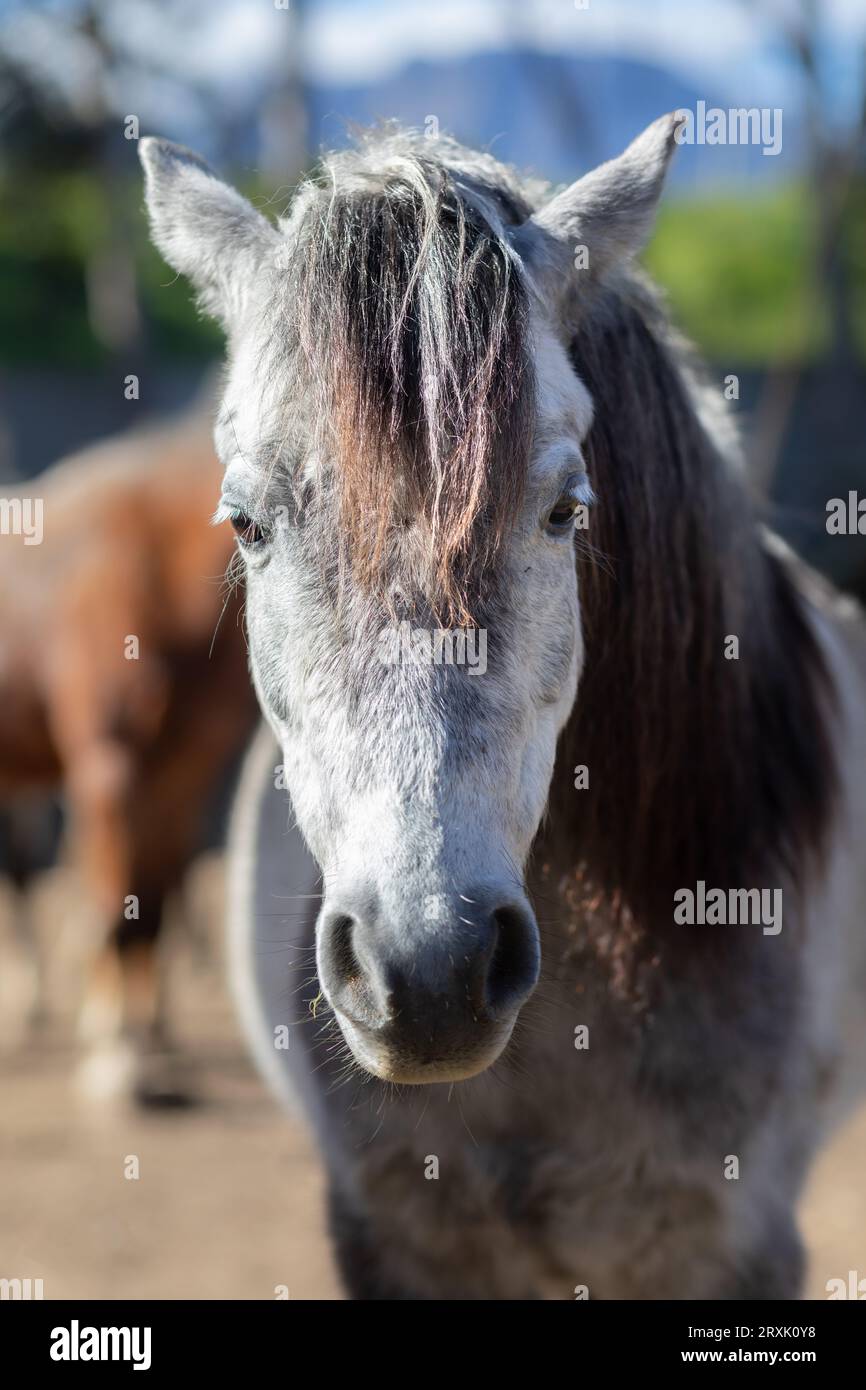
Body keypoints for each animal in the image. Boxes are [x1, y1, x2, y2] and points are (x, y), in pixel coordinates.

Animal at [0, 397, 257, 1100]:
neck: (157, 561)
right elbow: (121, 910)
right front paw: (120, 1058)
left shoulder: (181, 778)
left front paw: (149, 1042)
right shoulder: (111, 769)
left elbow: (155, 905)